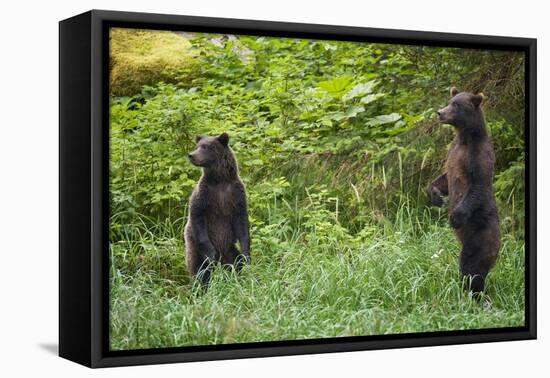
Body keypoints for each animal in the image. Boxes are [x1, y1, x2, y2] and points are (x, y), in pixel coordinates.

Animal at [188, 134, 252, 284]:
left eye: (206, 147)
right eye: (197, 146)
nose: (191, 155)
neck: (220, 180)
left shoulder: (236, 195)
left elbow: (242, 222)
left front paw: (246, 253)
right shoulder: (205, 195)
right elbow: (197, 216)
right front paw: (211, 253)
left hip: (229, 249)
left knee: (236, 262)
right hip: (194, 247)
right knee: (200, 270)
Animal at [430, 88, 502, 296]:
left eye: (457, 105)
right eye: (450, 101)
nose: (440, 112)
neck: (465, 138)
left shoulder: (478, 156)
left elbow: (478, 185)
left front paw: (455, 217)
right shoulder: (453, 152)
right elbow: (445, 177)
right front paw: (435, 195)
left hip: (481, 237)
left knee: (473, 269)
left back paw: (474, 294)